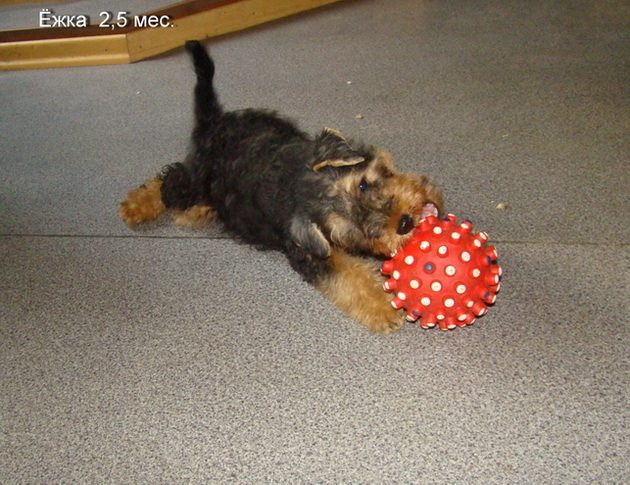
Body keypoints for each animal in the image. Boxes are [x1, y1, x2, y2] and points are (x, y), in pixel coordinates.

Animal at [120, 41, 443, 333]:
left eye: (362, 185)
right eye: (350, 228)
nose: (404, 222)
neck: (298, 179)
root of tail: (214, 123)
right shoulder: (311, 254)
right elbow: (351, 278)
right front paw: (384, 308)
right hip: (193, 185)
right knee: (169, 180)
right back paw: (134, 207)